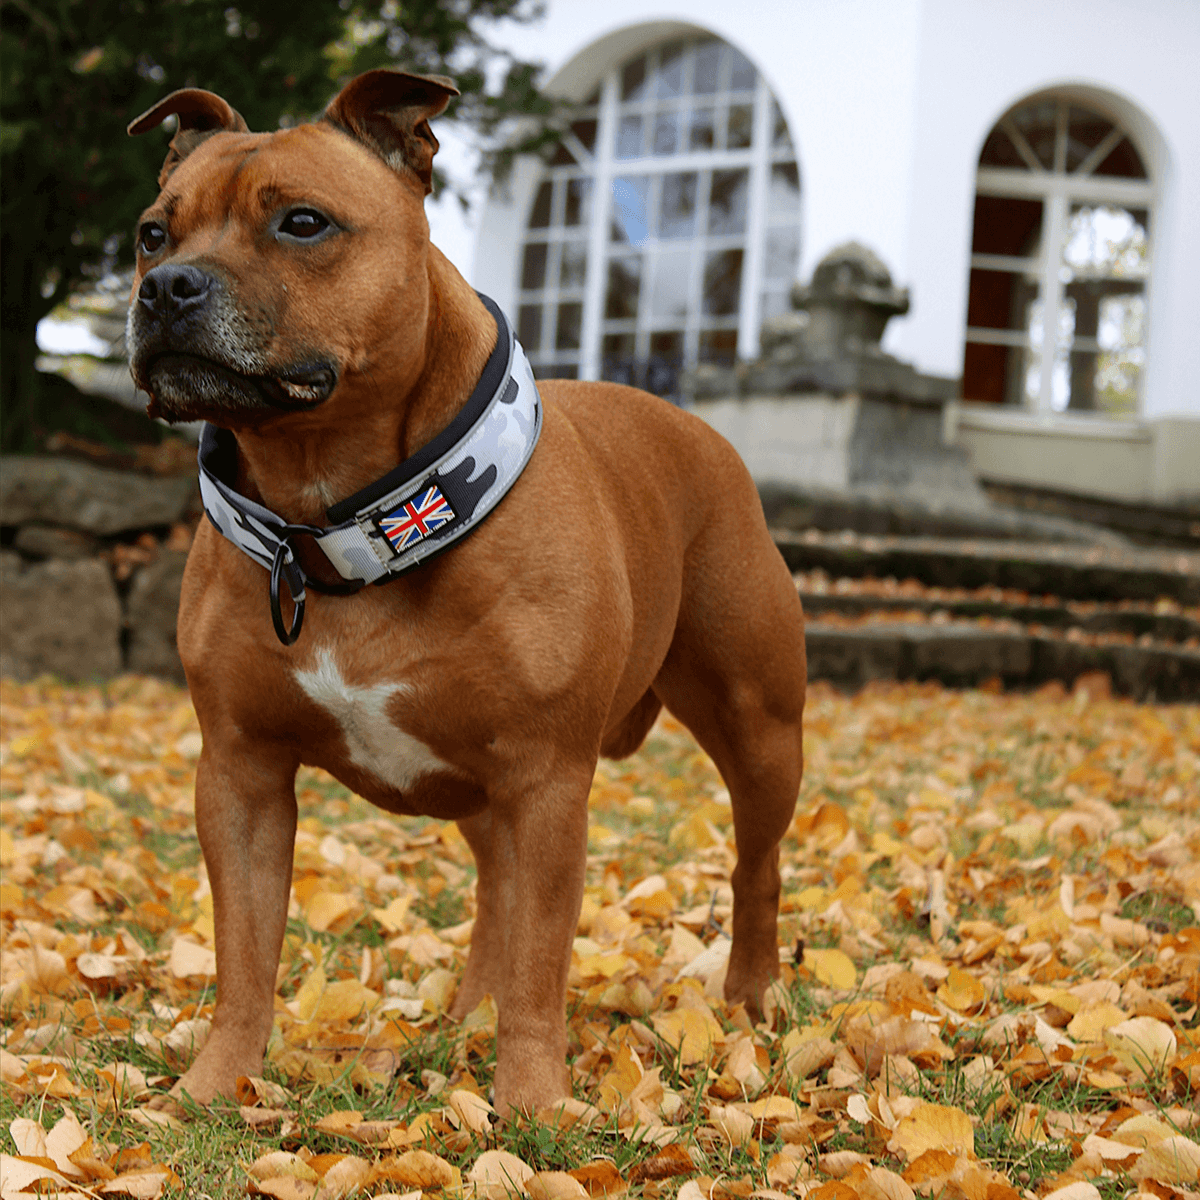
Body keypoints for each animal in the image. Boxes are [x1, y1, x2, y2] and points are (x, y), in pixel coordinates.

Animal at [126, 65, 806, 1113]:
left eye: (303, 224)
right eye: (153, 233)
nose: (165, 287)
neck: (338, 522)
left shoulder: (548, 781)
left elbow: (542, 961)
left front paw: (531, 1107)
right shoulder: (239, 773)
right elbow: (244, 952)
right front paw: (214, 1085)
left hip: (760, 726)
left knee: (755, 863)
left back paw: (753, 998)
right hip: (478, 784)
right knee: (495, 888)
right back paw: (469, 1015)